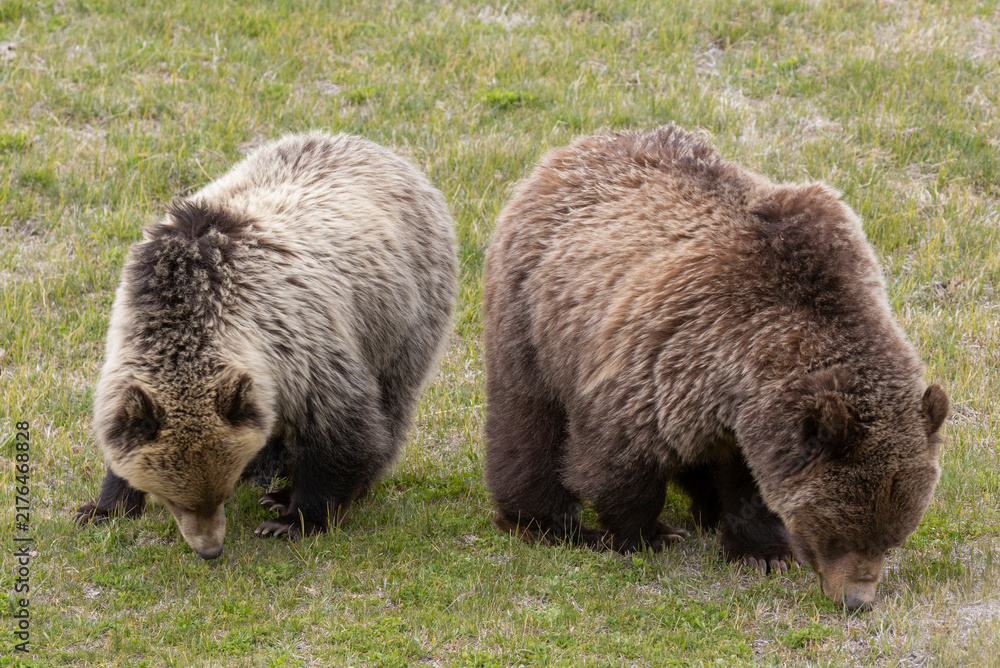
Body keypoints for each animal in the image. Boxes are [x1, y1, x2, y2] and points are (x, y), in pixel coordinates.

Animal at [75, 132, 458, 560]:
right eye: (174, 500)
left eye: (220, 493)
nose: (210, 549)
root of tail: (382, 150)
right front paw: (103, 508)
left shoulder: (299, 343)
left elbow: (342, 429)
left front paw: (294, 518)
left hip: (401, 314)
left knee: (393, 399)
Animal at [483, 125, 948, 611]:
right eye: (837, 533)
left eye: (892, 539)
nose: (856, 601)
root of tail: (574, 148)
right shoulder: (665, 361)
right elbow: (620, 460)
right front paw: (647, 533)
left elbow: (751, 482)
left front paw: (764, 553)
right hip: (535, 316)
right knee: (528, 423)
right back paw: (543, 522)